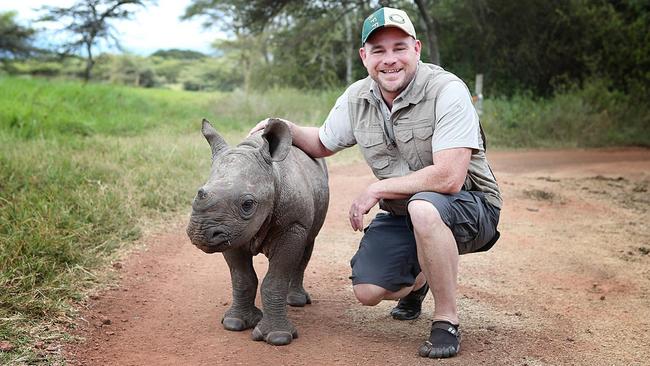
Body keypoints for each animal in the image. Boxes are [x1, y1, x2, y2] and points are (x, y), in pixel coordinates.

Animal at [187, 118, 330, 346]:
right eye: (199, 192)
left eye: (248, 204)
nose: (201, 234)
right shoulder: (230, 231)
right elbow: (242, 278)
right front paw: (235, 323)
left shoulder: (294, 225)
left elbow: (275, 279)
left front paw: (277, 337)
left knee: (307, 246)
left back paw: (296, 301)